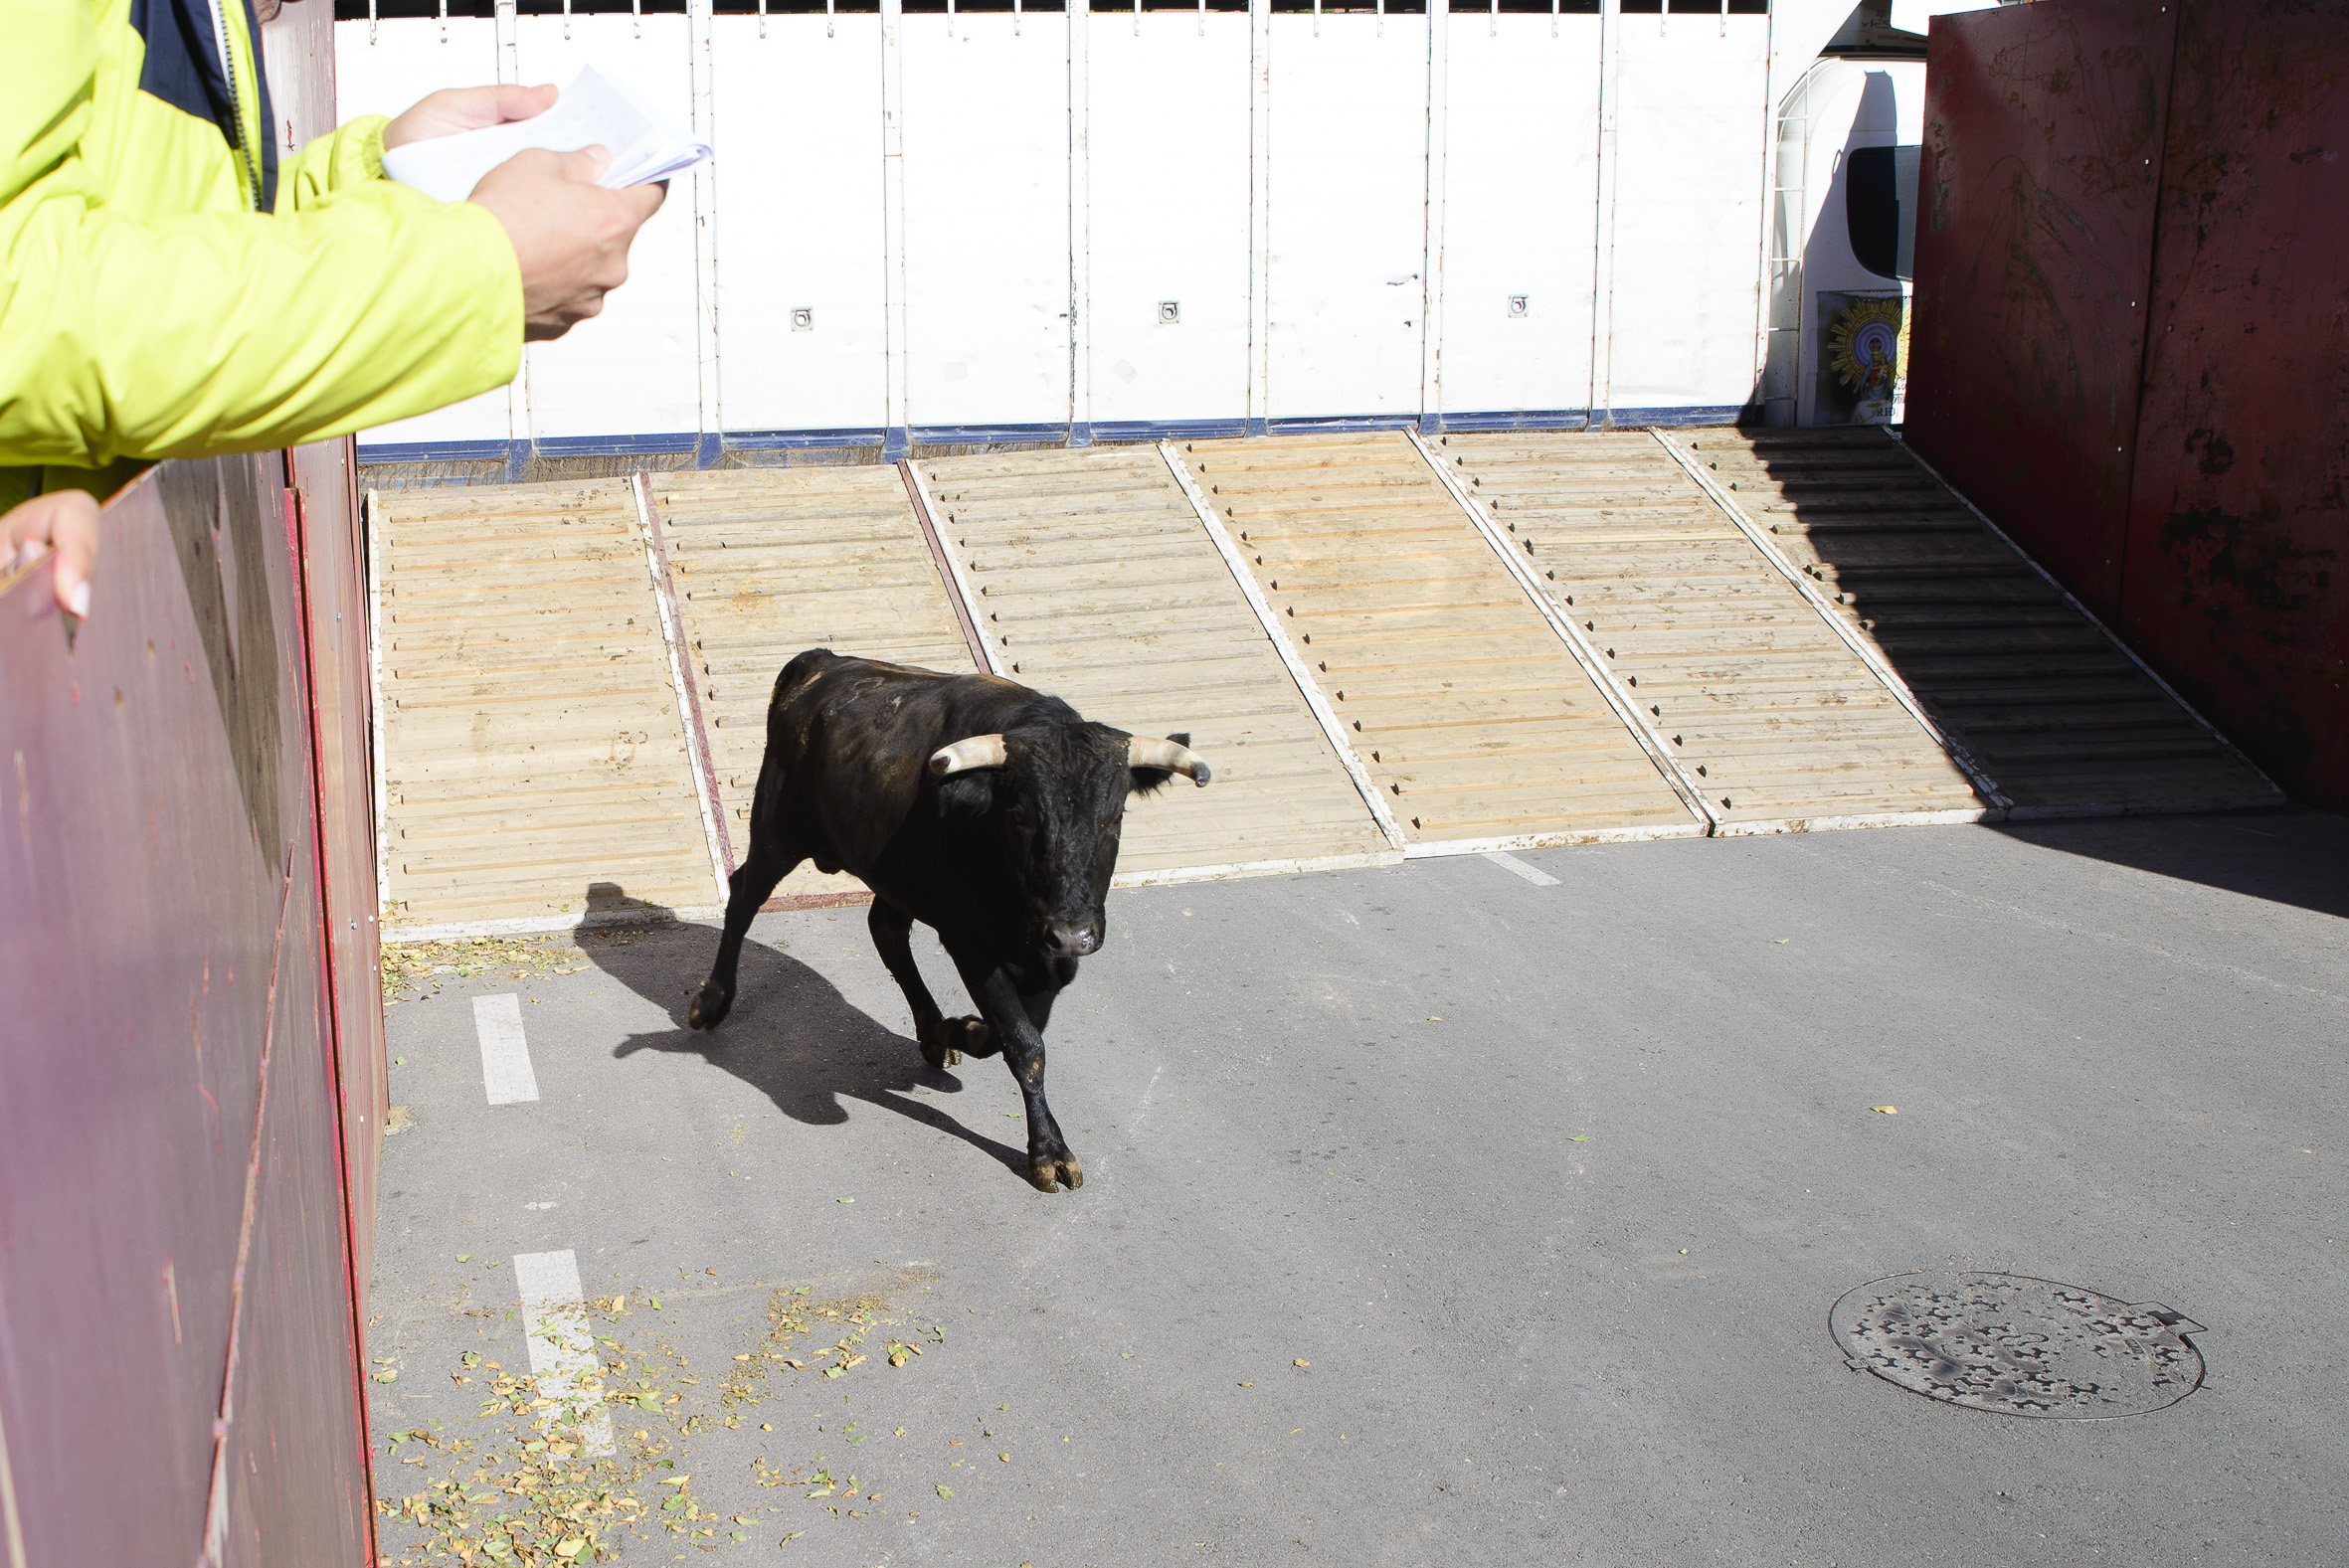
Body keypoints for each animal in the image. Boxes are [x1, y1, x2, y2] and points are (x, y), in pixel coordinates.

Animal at [685, 647, 1211, 1187]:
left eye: (1114, 818)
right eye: (1020, 816)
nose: (1071, 935)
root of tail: (822, 660)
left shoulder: (1051, 959)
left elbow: (1021, 1031)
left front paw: (965, 1030)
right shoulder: (970, 943)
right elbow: (1026, 1046)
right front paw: (1048, 1150)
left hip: (895, 870)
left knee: (886, 931)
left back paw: (934, 1030)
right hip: (779, 825)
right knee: (745, 895)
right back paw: (713, 1000)